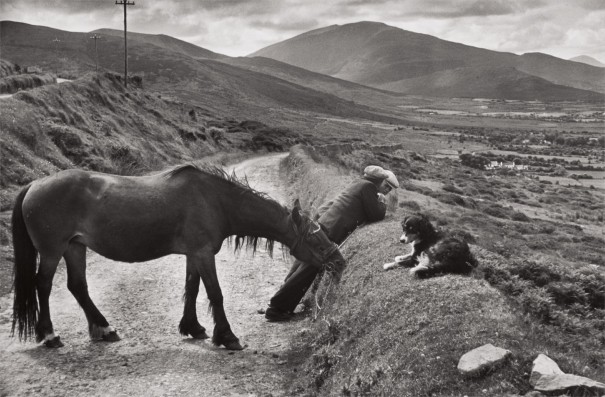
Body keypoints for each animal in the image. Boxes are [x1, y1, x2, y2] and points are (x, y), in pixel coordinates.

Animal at [10, 164, 344, 350]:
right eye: (314, 236)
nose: (339, 261)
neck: (216, 201)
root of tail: (34, 185)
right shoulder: (203, 254)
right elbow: (215, 294)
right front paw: (227, 336)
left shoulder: (194, 255)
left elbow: (192, 290)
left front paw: (193, 328)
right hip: (52, 251)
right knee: (43, 286)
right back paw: (49, 335)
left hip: (75, 247)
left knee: (78, 286)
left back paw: (104, 329)